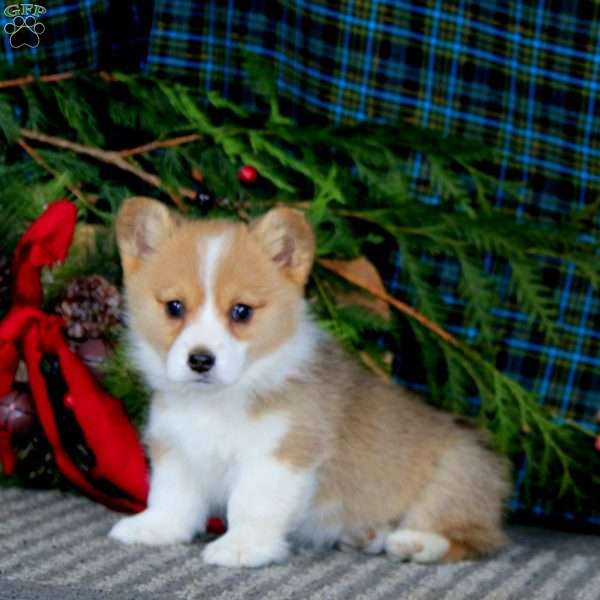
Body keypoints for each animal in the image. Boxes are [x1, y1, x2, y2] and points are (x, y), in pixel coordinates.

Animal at [109, 197, 510, 568]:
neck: (220, 400)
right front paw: (153, 528)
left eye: (242, 311)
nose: (200, 360)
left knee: (471, 538)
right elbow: (171, 498)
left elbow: (250, 506)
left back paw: (413, 543)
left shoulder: (280, 456)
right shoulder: (177, 449)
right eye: (174, 307)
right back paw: (366, 534)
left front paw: (240, 548)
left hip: (453, 479)